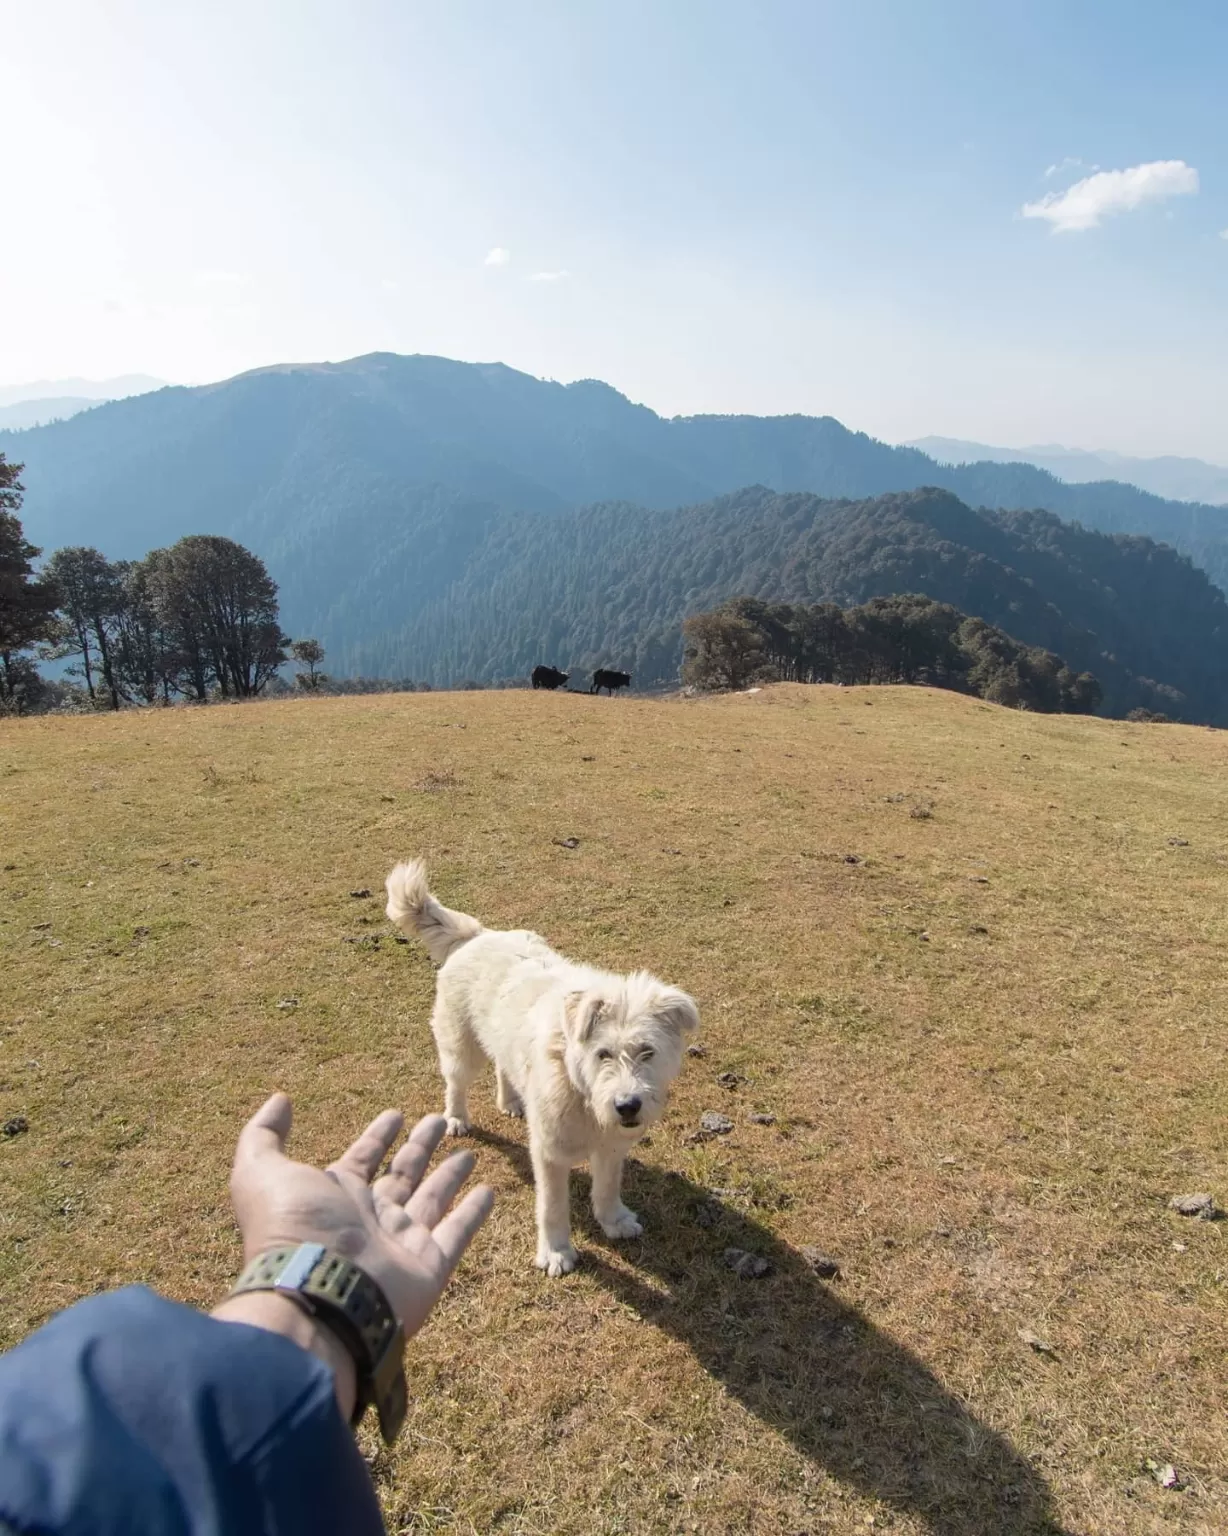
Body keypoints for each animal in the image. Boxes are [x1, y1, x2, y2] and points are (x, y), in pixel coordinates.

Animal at [388, 860, 706, 1277]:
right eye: (603, 1054)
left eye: (647, 1052)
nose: (627, 1107)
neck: (581, 1091)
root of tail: (478, 935)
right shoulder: (551, 1154)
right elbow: (553, 1207)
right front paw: (556, 1251)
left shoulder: (610, 1146)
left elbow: (607, 1186)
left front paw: (613, 1220)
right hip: (462, 1049)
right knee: (456, 1082)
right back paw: (456, 1118)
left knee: (503, 1066)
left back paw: (510, 1101)